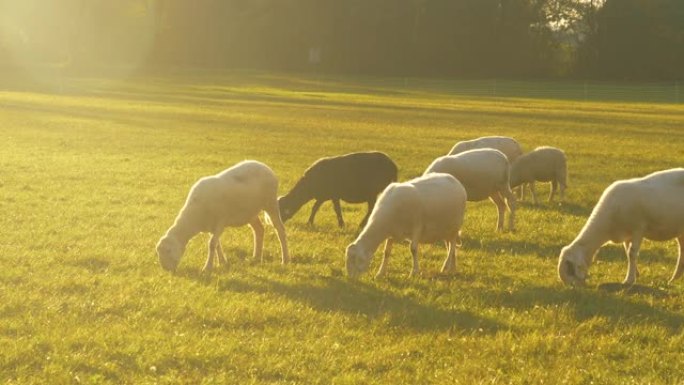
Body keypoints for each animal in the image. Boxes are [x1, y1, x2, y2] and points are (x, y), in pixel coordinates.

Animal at [157, 160, 288, 272]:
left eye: (167, 252)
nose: (168, 270)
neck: (193, 218)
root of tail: (265, 167)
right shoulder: (211, 226)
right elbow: (216, 244)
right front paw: (222, 262)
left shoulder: (220, 221)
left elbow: (212, 244)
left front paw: (207, 268)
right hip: (250, 212)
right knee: (259, 230)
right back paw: (256, 257)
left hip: (270, 203)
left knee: (280, 230)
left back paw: (285, 260)